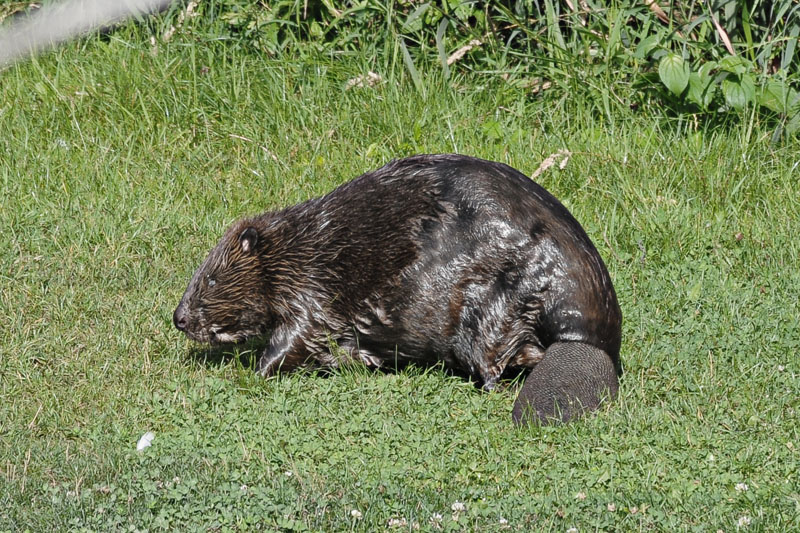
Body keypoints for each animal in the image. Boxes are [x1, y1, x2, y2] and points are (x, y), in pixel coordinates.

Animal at [175, 154, 620, 424]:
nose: (178, 319)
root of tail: (587, 343)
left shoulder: (313, 286)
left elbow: (300, 334)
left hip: (490, 307)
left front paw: (252, 373)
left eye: (210, 279)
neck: (299, 245)